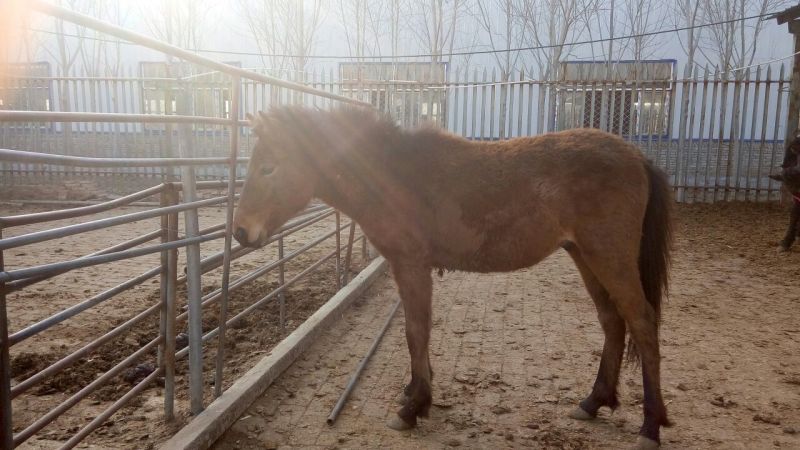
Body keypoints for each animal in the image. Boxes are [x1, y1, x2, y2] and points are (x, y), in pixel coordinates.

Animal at [233, 106, 674, 449]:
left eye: (268, 166)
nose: (240, 232)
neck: (393, 175)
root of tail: (636, 156)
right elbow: (418, 332)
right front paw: (417, 393)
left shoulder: (411, 264)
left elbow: (416, 331)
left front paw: (413, 407)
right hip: (585, 257)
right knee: (613, 322)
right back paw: (594, 402)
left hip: (609, 258)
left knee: (642, 323)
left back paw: (650, 426)